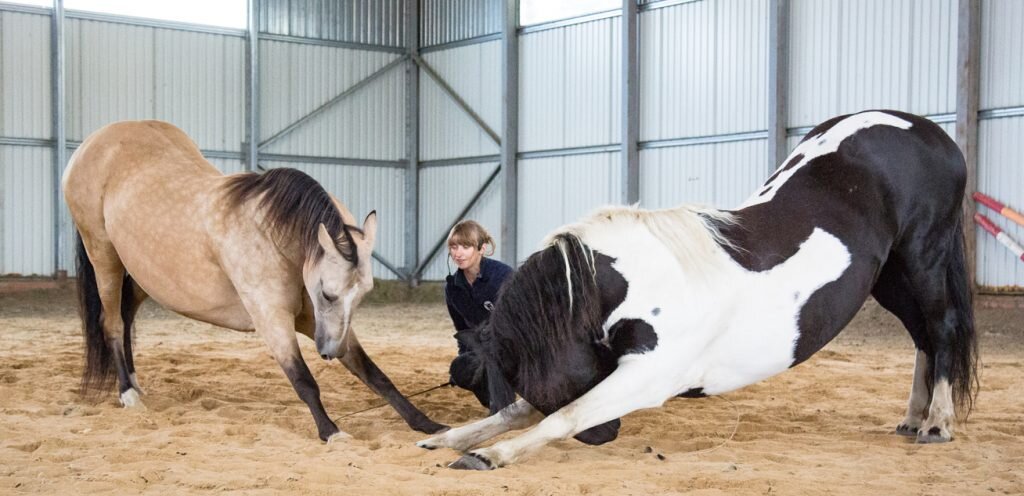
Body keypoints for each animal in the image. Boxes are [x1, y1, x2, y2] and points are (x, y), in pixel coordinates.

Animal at [61, 120, 446, 442]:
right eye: (327, 293)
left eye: (364, 294)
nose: (330, 352)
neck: (276, 235)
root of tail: (93, 143)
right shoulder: (273, 318)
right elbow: (303, 379)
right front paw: (331, 431)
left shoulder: (316, 322)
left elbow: (375, 374)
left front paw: (428, 424)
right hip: (104, 256)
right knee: (111, 322)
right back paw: (127, 393)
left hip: (142, 275)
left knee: (125, 317)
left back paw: (135, 384)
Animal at [419, 109, 978, 469]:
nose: (605, 437)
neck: (636, 279)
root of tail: (932, 133)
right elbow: (524, 413)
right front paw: (448, 438)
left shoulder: (649, 375)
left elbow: (561, 416)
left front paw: (489, 453)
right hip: (891, 278)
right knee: (923, 337)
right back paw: (913, 418)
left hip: (923, 260)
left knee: (942, 329)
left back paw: (937, 423)